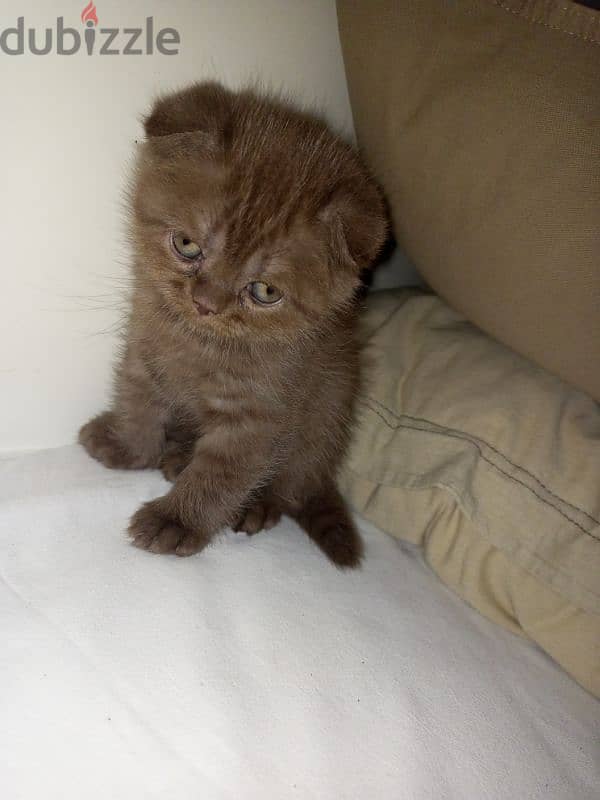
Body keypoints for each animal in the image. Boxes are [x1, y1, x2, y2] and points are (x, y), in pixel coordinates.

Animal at [77, 81, 386, 564]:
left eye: (265, 291)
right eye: (187, 245)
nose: (205, 303)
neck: (197, 342)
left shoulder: (262, 410)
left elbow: (222, 473)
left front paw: (176, 520)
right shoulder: (143, 349)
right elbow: (138, 402)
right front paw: (128, 447)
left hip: (324, 418)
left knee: (292, 485)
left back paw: (257, 505)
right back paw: (176, 456)